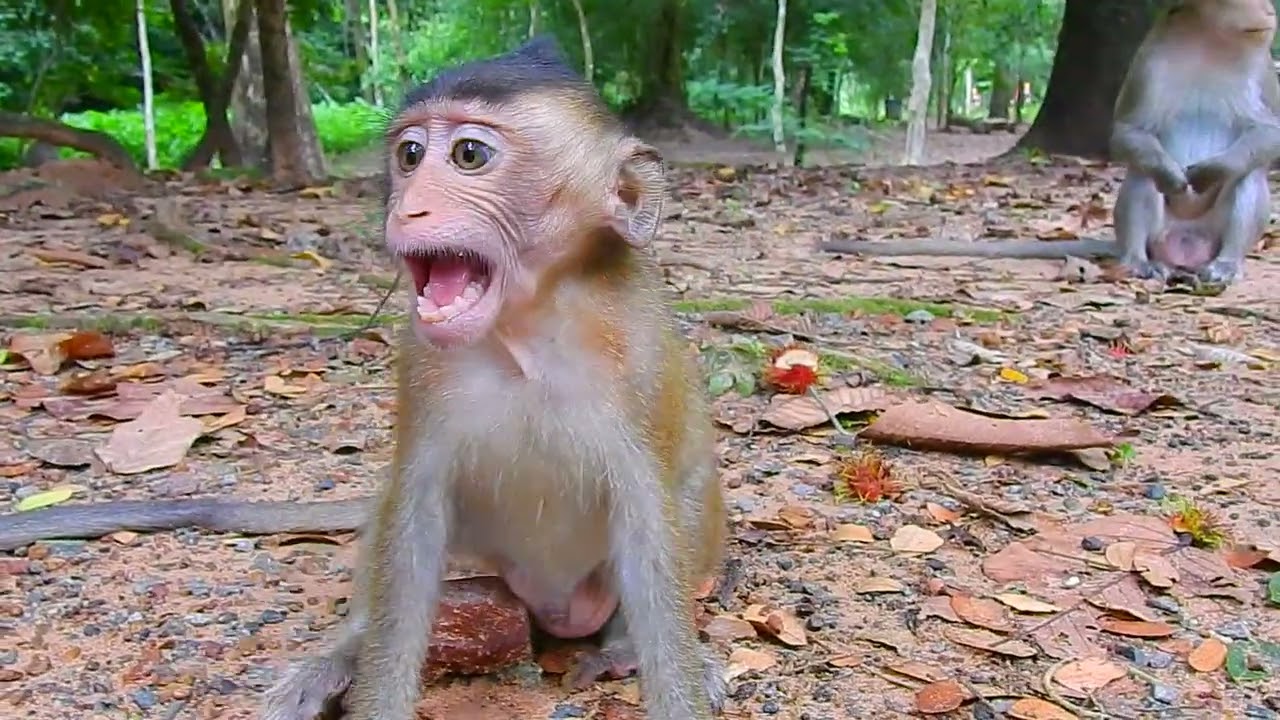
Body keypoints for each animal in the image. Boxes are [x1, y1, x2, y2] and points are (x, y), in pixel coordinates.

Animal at [256, 36, 728, 720]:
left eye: (469, 155)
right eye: (409, 155)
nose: (408, 207)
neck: (526, 331)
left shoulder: (638, 354)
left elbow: (650, 528)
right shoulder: (418, 357)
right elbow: (414, 514)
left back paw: (621, 648)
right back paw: (341, 654)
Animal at [820, 0, 1280, 288]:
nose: (1269, 9)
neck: (1211, 42)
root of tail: (1185, 250)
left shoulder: (1262, 65)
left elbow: (1268, 134)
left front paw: (1213, 170)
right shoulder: (1151, 60)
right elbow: (1127, 131)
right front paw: (1172, 175)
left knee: (1248, 177)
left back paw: (1225, 264)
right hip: (1159, 236)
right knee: (1141, 175)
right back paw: (1138, 260)